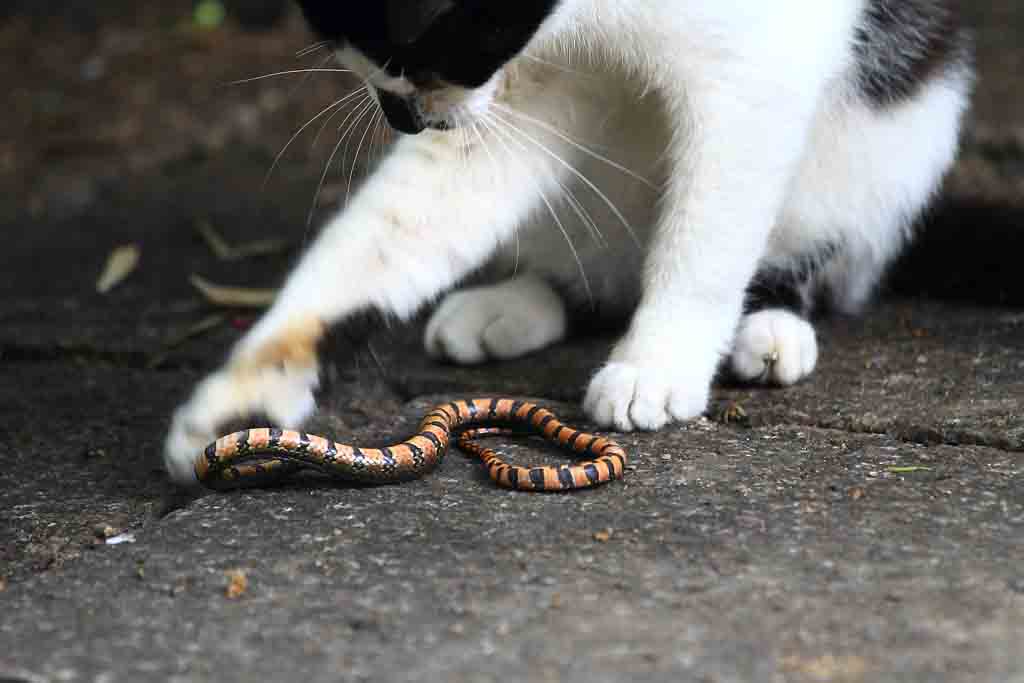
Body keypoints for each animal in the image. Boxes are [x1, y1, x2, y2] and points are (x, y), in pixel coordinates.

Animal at [163, 0, 970, 485]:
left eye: (430, 47)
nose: (401, 119)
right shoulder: (511, 89)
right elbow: (394, 229)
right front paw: (251, 388)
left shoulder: (761, 64)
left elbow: (710, 225)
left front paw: (660, 360)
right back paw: (513, 305)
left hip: (884, 139)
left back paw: (771, 323)